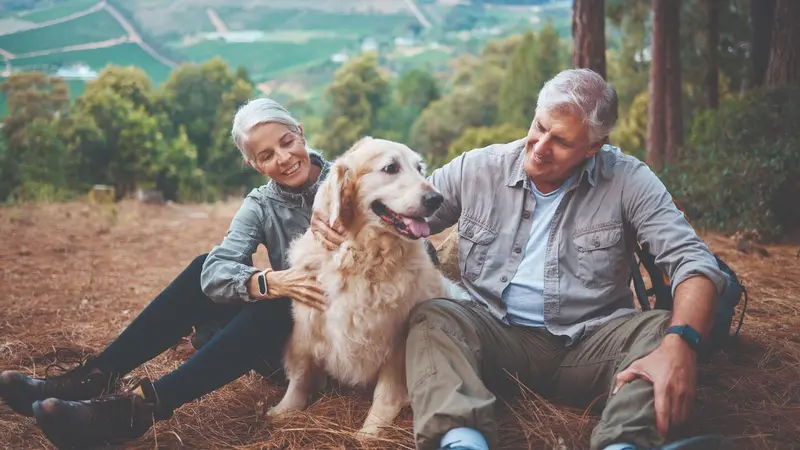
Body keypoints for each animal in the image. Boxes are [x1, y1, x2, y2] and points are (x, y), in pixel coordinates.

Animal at [268, 138, 468, 440]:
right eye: (391, 168)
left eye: (419, 169)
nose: (436, 199)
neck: (362, 255)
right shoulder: (308, 320)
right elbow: (301, 371)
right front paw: (286, 409)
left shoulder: (396, 332)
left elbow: (386, 391)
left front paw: (372, 429)